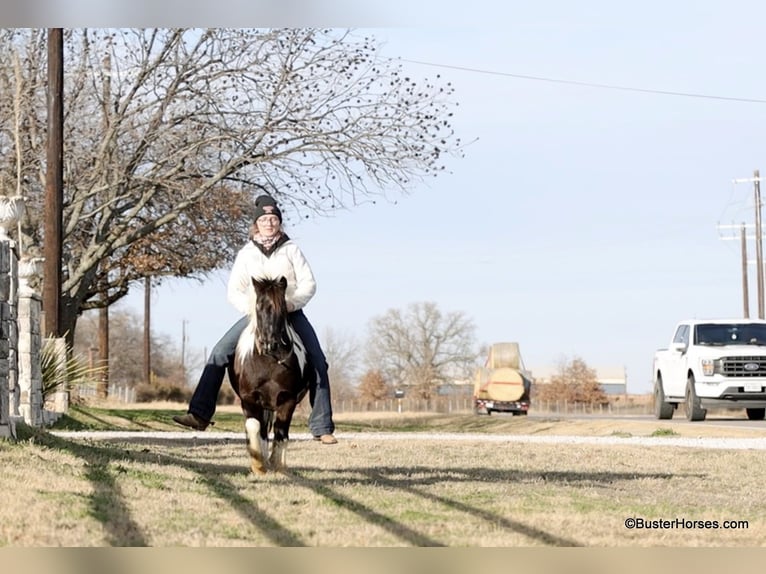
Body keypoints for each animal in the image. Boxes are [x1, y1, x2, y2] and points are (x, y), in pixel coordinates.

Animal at [229, 276, 312, 475]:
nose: (269, 344)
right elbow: (254, 427)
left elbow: (281, 432)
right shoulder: (249, 399)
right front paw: (258, 465)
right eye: (258, 306)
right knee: (262, 431)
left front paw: (278, 465)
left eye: (282, 308)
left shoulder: (287, 400)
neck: (268, 362)